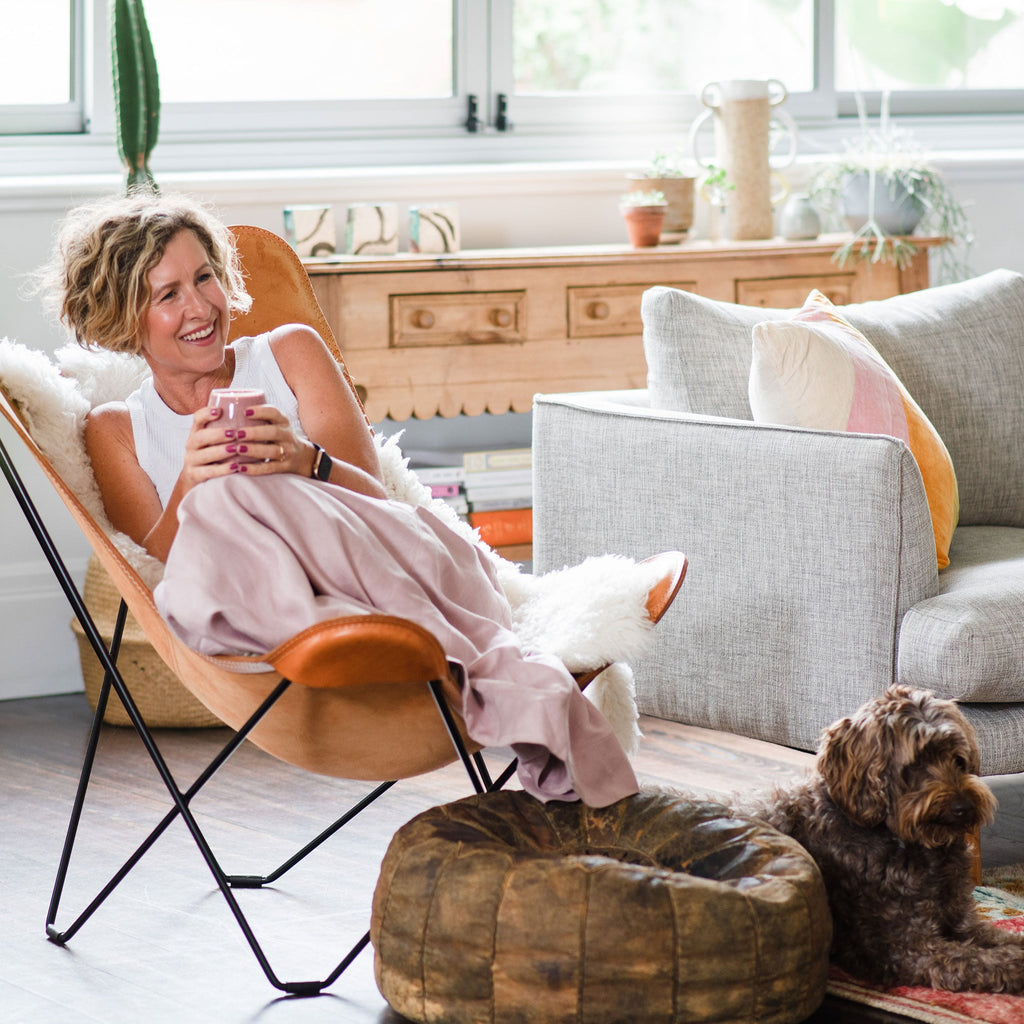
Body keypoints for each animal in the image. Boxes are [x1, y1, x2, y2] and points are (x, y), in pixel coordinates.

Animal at [745, 688, 1024, 991]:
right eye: (917, 762)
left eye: (958, 759)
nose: (963, 807)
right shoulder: (910, 949)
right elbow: (982, 959)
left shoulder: (962, 921)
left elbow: (1001, 938)